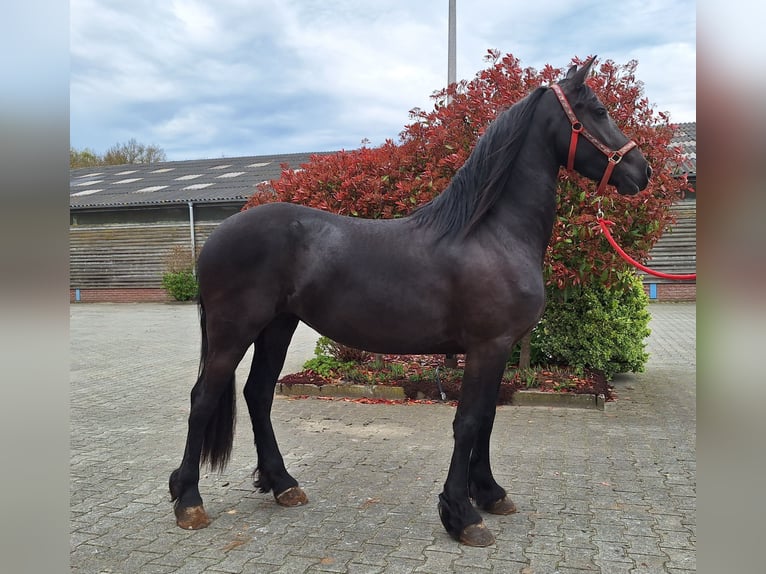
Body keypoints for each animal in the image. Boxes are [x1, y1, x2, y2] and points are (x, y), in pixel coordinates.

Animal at [169, 58, 651, 547]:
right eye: (599, 110)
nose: (642, 171)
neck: (492, 233)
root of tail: (216, 240)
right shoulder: (488, 346)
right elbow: (469, 422)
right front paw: (462, 514)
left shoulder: (498, 349)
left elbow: (488, 419)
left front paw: (490, 493)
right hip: (235, 331)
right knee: (204, 398)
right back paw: (189, 501)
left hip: (278, 326)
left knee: (258, 394)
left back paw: (283, 484)